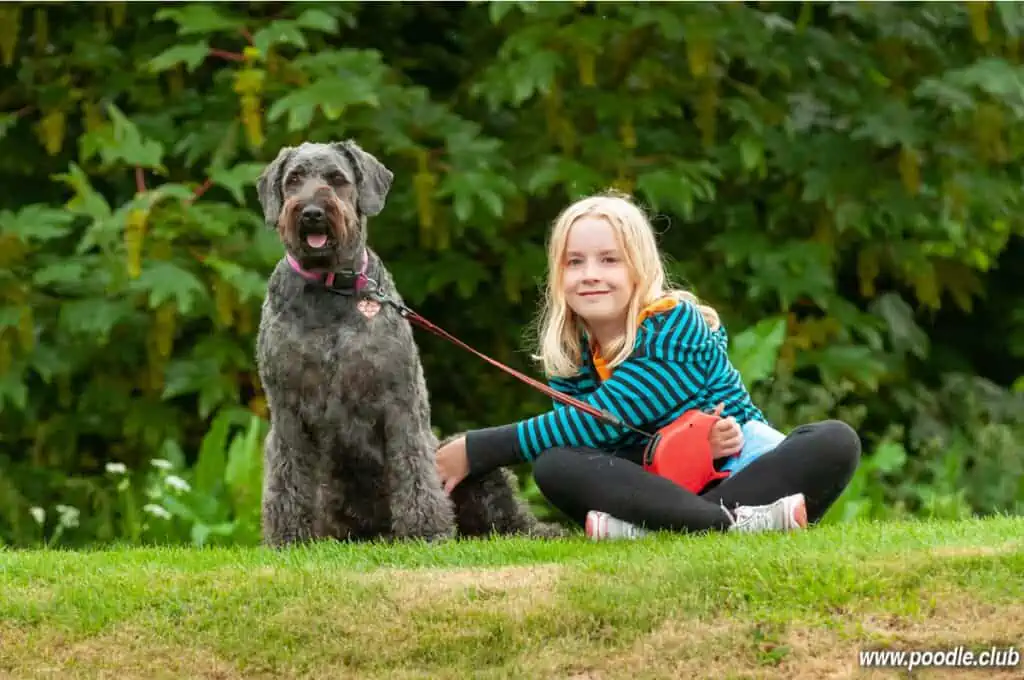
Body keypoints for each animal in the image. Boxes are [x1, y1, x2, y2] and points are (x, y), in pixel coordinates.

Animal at [252, 140, 565, 544]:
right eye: (293, 179)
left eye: (336, 178)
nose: (311, 213)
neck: (331, 288)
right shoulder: (288, 408)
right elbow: (287, 474)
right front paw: (289, 536)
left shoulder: (400, 400)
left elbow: (412, 467)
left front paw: (425, 529)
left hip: (466, 460)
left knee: (507, 518)